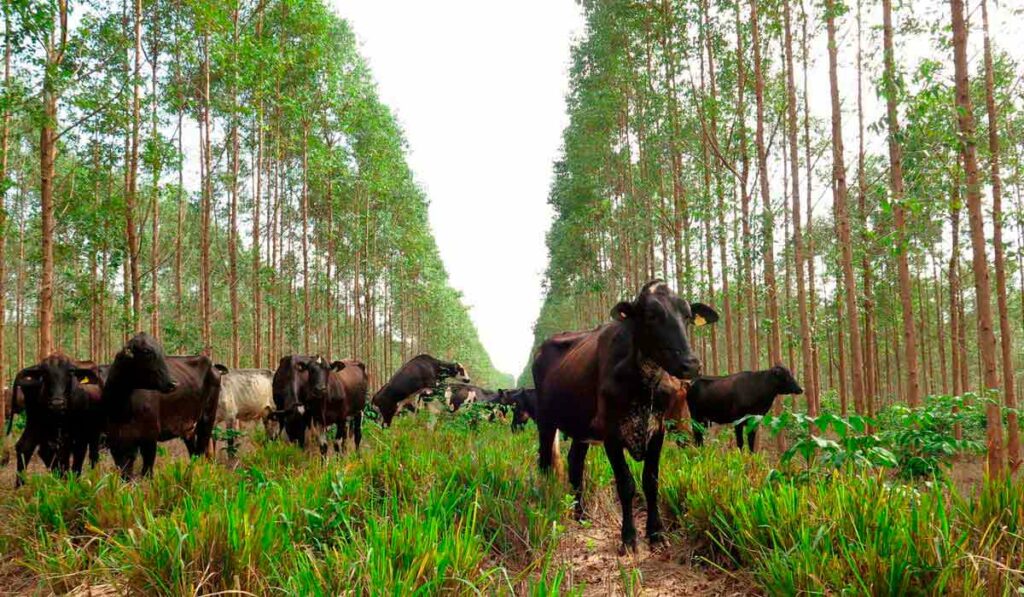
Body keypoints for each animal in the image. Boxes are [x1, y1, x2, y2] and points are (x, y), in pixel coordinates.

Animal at [532, 282, 716, 552]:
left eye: (688, 316)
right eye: (650, 315)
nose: (690, 364)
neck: (642, 384)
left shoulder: (657, 430)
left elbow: (650, 481)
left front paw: (656, 533)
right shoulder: (611, 432)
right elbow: (626, 484)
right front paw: (628, 537)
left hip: (581, 429)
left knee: (575, 463)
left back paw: (581, 514)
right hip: (546, 422)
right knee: (545, 464)